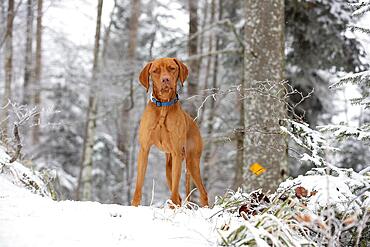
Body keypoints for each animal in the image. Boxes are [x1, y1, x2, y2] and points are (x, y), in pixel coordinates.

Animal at [132, 57, 210, 206]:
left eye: (172, 68)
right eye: (155, 71)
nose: (165, 79)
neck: (163, 106)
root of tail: (194, 123)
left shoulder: (176, 152)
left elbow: (175, 191)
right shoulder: (144, 150)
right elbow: (139, 183)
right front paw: (134, 205)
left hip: (191, 161)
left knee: (202, 193)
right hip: (169, 168)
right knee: (179, 196)